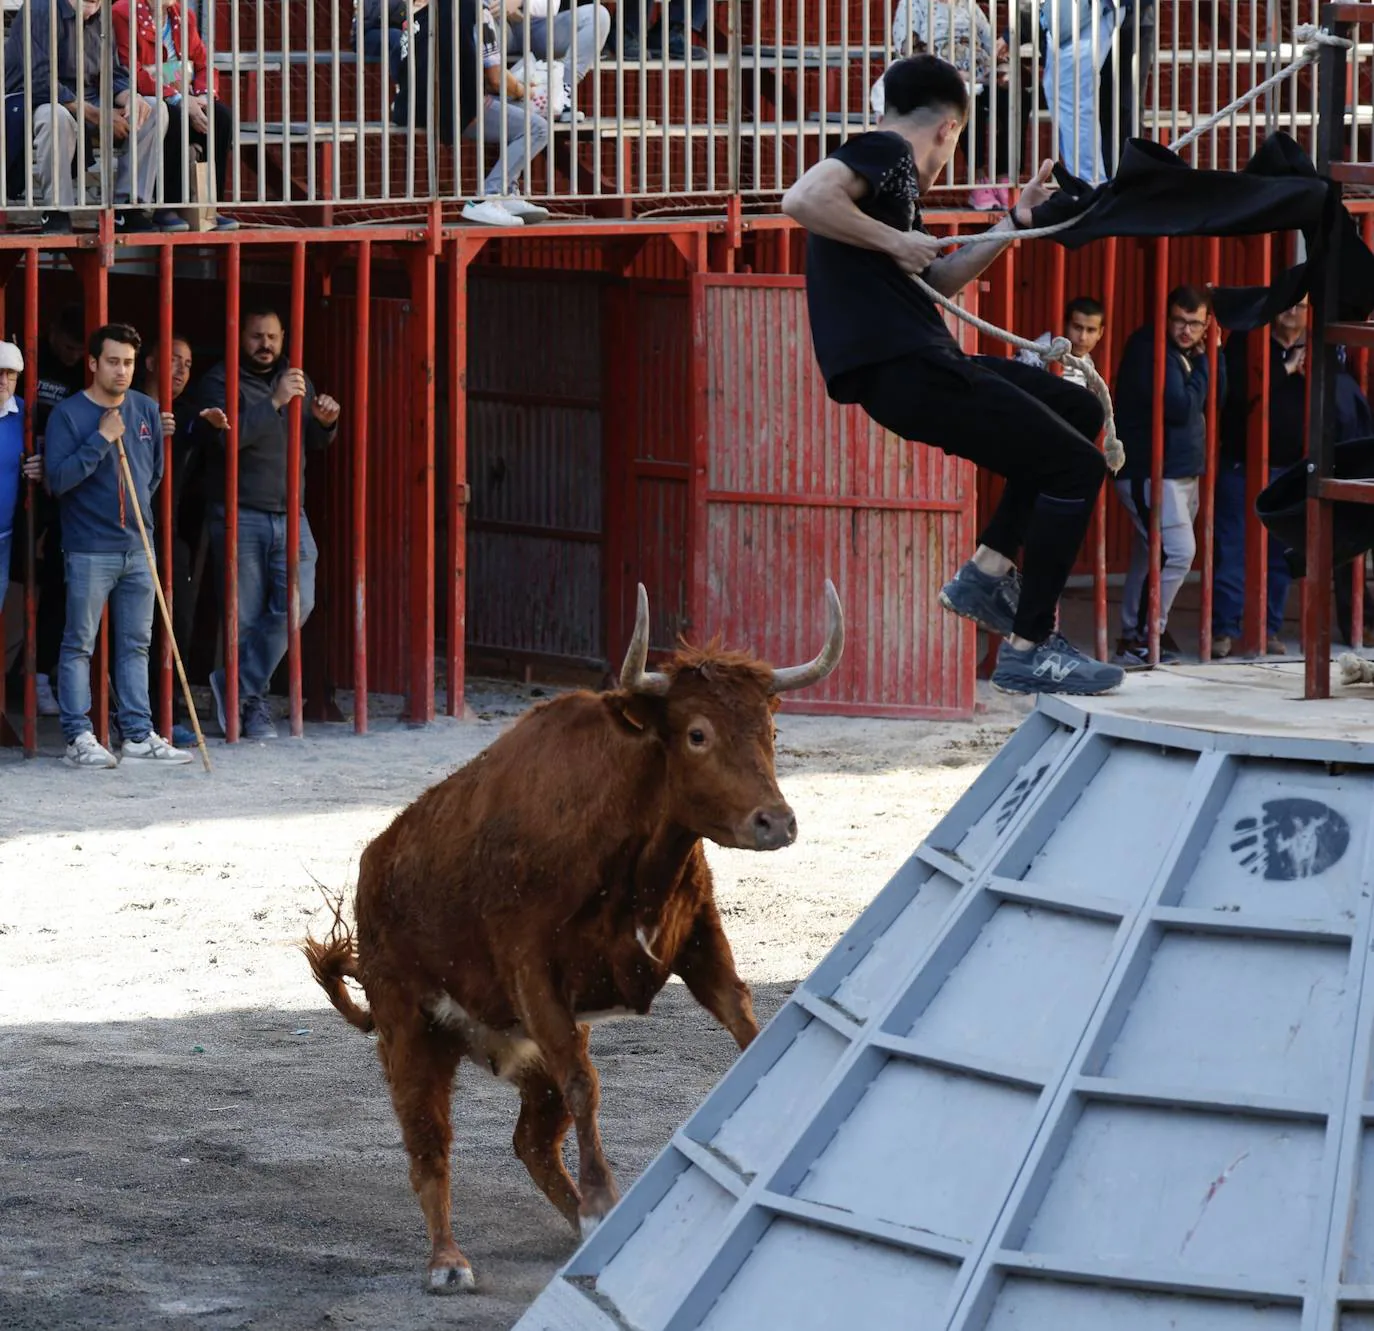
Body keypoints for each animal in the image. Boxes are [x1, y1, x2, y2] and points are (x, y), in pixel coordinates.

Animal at [303, 582, 835, 1285]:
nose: (776, 822)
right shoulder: (533, 974)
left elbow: (745, 1024)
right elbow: (587, 1087)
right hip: (408, 1028)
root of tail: (375, 862)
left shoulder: (700, 940)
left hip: (523, 1053)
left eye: (769, 729)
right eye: (697, 733)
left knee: (531, 1141)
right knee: (429, 1145)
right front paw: (602, 1200)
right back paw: (450, 1260)